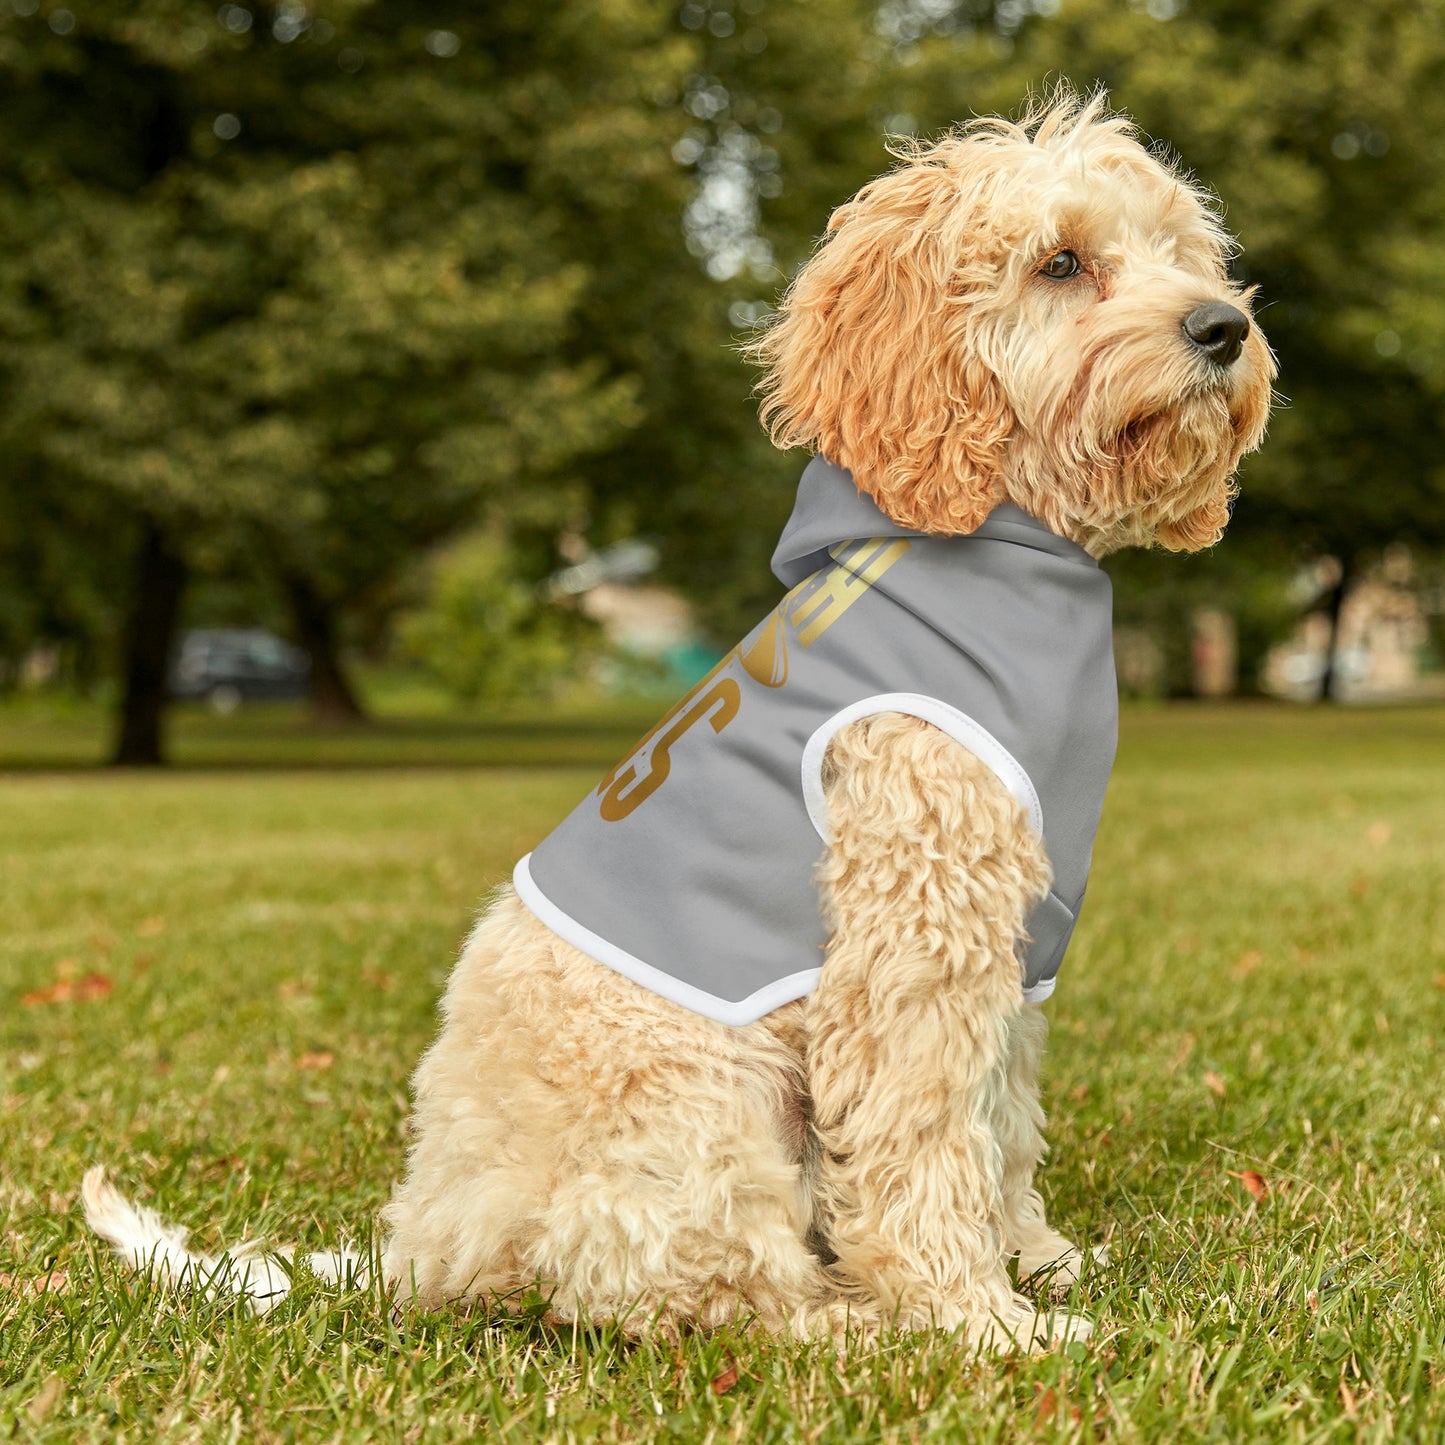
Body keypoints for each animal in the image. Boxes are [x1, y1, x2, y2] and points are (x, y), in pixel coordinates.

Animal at [84, 93, 1271, 1352]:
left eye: (1180, 252)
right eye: (1059, 262)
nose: (1222, 327)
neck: (998, 539)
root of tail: (424, 1244)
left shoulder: (1013, 943)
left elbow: (999, 1120)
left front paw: (1035, 1259)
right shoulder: (912, 937)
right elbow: (923, 1138)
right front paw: (976, 1318)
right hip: (704, 1101)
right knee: (700, 1290)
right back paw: (852, 1322)